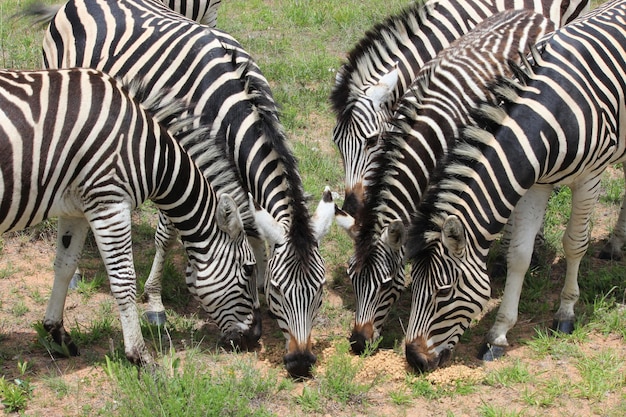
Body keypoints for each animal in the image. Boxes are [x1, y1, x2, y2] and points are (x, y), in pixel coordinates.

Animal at [0, 67, 260, 364]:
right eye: (249, 268)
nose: (256, 337)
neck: (153, 155)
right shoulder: (109, 205)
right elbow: (124, 281)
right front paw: (140, 355)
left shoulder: (75, 209)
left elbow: (64, 267)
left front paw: (58, 335)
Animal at [30, 0, 332, 376]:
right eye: (280, 291)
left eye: (321, 290)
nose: (302, 363)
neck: (230, 103)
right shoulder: (175, 151)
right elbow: (167, 234)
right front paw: (155, 301)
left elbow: (252, 228)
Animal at [402, 0, 624, 374]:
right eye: (411, 287)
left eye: (443, 291)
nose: (414, 360)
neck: (548, 120)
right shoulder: (537, 184)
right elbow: (519, 255)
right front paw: (498, 334)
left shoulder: (590, 177)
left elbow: (575, 244)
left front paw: (566, 312)